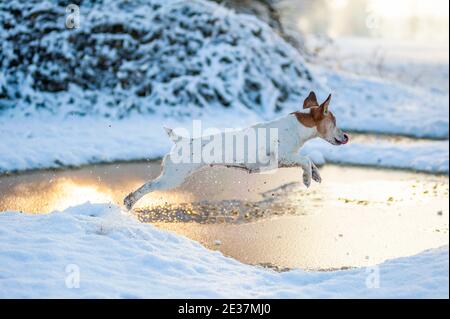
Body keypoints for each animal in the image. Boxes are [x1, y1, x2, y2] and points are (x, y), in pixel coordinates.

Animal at [125, 92, 350, 210]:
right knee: (146, 187)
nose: (347, 136)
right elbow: (305, 159)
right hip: (171, 178)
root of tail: (181, 140)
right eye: (335, 122)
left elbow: (309, 160)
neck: (297, 126)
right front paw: (307, 179)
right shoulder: (282, 157)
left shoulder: (283, 160)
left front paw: (315, 175)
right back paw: (129, 202)